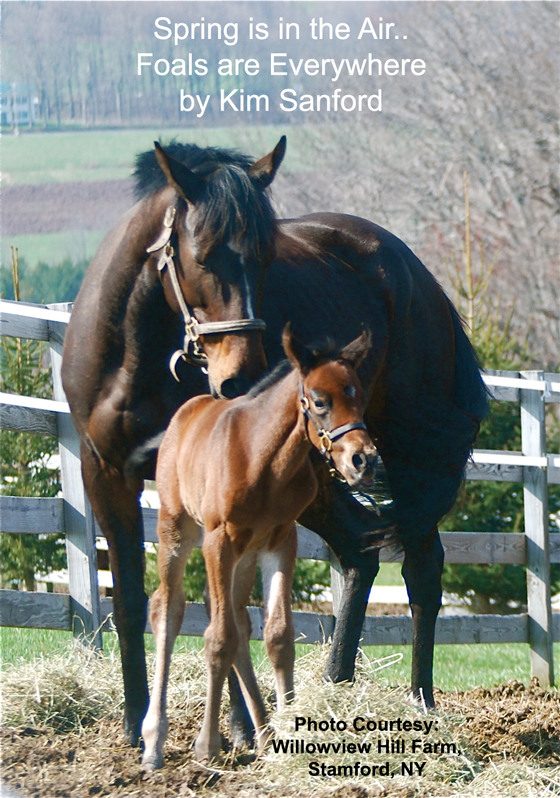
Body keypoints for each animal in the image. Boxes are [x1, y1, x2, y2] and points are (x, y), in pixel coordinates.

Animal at [141, 324, 376, 768]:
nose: (364, 460)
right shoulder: (218, 539)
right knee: (168, 608)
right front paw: (207, 745)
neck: (262, 459)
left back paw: (264, 735)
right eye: (320, 400)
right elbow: (217, 638)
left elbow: (277, 636)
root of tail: (187, 411)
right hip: (177, 531)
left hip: (245, 553)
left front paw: (287, 732)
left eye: (359, 394)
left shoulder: (281, 540)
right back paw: (153, 740)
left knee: (239, 620)